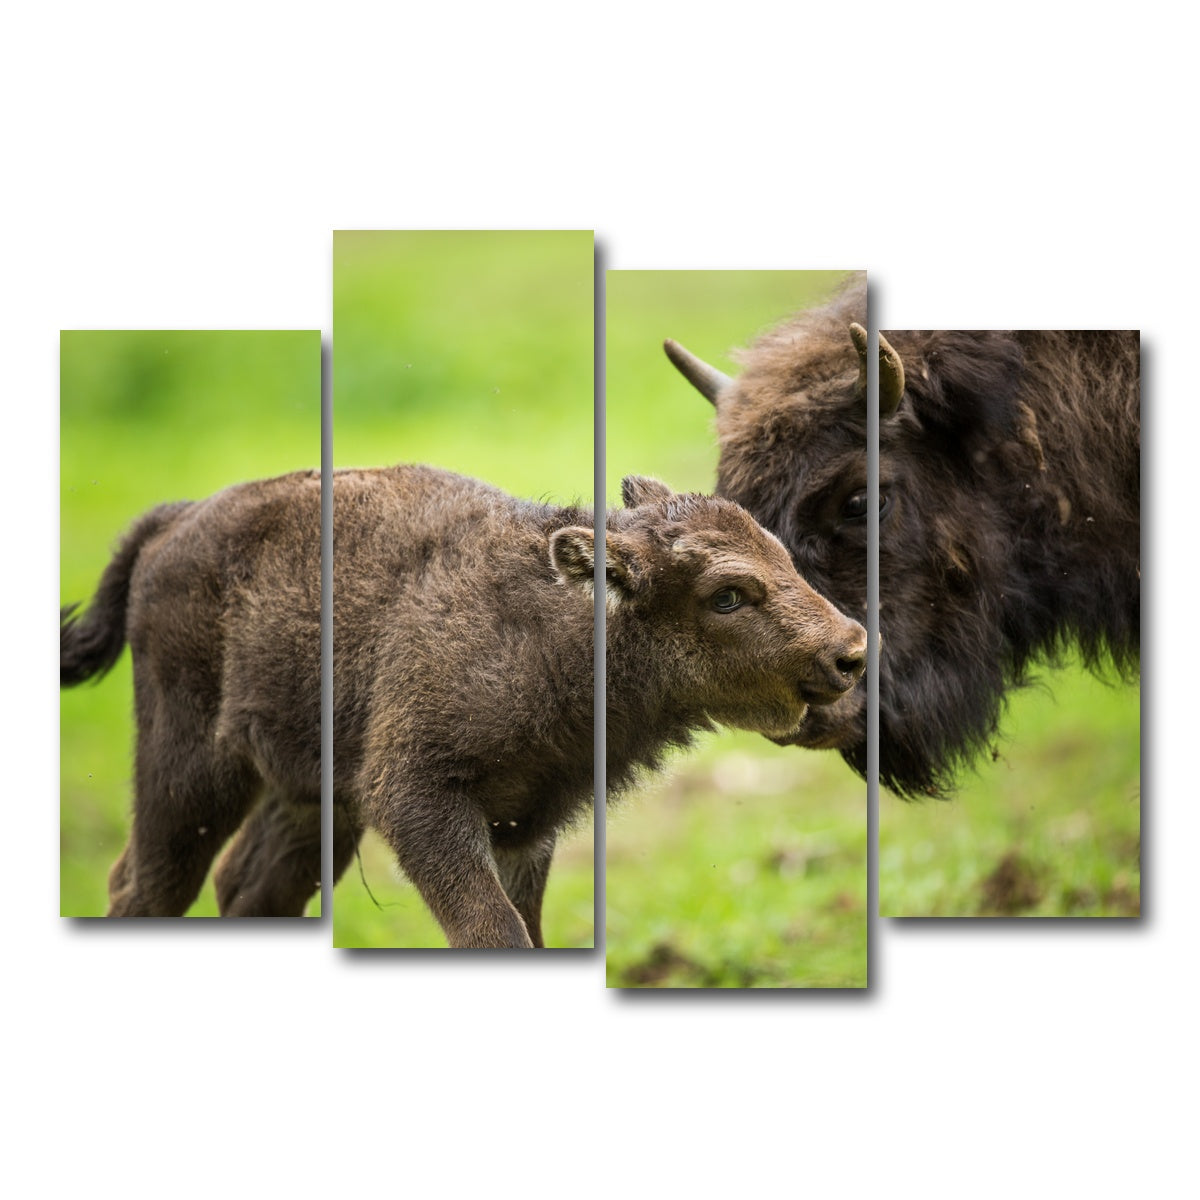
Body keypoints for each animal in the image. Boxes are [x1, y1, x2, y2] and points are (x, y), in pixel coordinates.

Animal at [61, 466, 866, 945]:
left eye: (781, 553)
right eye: (727, 594)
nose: (850, 651)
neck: (561, 628)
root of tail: (175, 520)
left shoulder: (526, 823)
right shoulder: (420, 800)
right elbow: (493, 929)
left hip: (311, 797)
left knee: (250, 886)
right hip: (191, 768)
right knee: (148, 884)